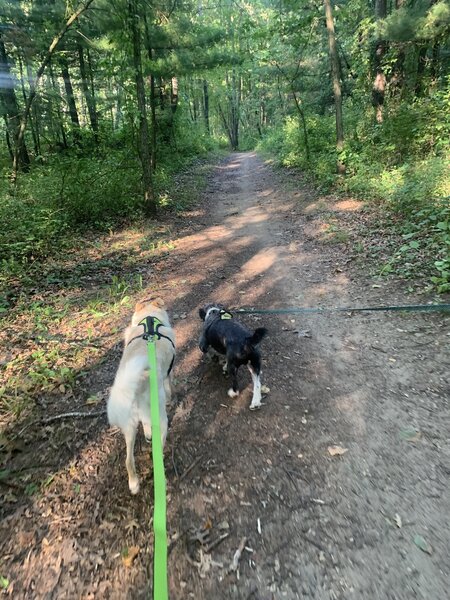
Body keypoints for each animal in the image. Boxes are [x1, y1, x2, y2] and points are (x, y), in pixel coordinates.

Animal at [106, 298, 175, 494]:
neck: (150, 320)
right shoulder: (169, 373)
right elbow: (170, 386)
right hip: (161, 419)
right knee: (157, 451)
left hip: (129, 425)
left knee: (128, 460)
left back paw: (134, 483)